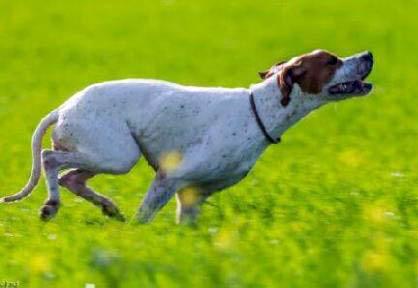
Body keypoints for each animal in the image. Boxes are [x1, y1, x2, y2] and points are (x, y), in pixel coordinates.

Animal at [0, 50, 372, 223]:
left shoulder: (192, 196)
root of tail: (63, 107)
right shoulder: (169, 178)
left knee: (71, 178)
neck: (260, 109)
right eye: (332, 60)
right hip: (116, 155)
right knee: (51, 161)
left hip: (103, 155)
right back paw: (51, 206)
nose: (368, 55)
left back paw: (107, 207)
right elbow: (143, 220)